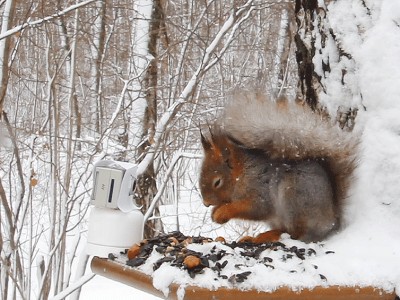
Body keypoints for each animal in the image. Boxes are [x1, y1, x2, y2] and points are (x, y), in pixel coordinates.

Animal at [199, 93, 356, 244]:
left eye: (217, 182)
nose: (206, 204)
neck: (242, 173)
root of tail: (331, 222)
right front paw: (215, 211)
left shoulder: (261, 191)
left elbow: (255, 208)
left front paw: (222, 212)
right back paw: (255, 238)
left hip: (293, 199)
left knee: (295, 234)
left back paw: (270, 236)